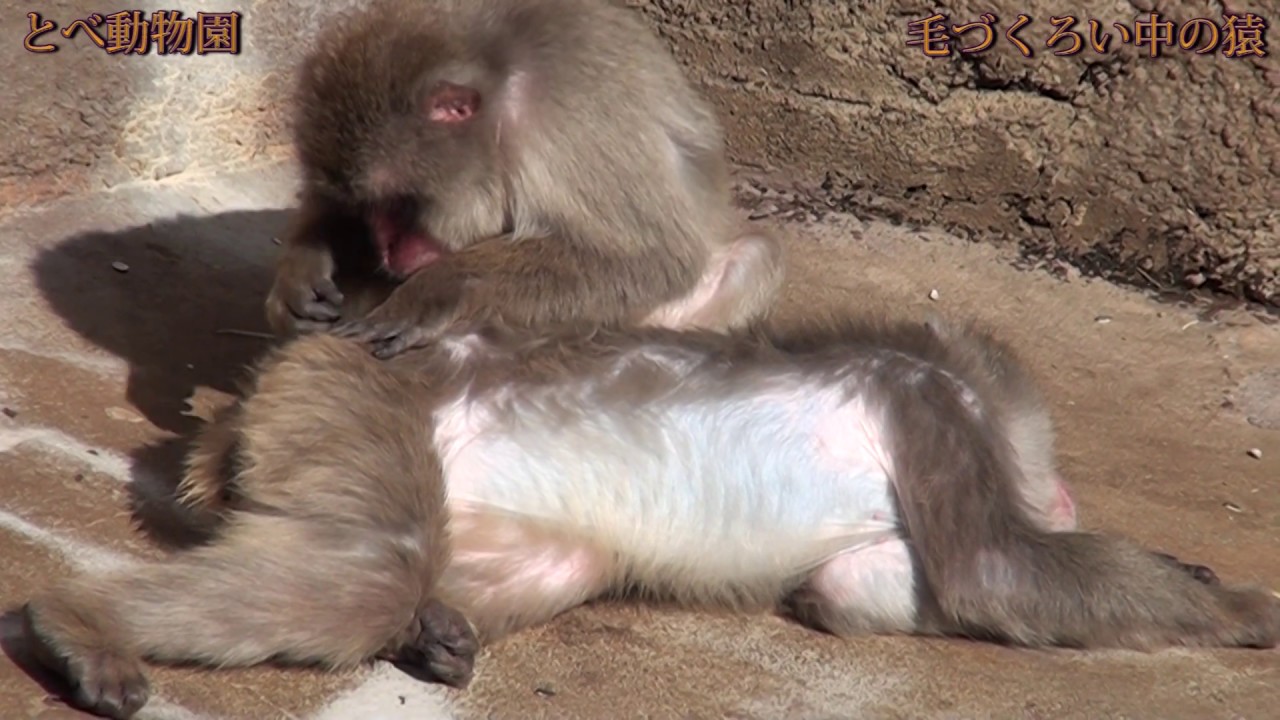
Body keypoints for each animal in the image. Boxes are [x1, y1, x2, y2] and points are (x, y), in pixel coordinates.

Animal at [21, 313, 1277, 719]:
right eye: (1042, 455)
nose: (1061, 487)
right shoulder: (929, 402)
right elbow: (996, 573)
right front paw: (1241, 605)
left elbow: (847, 593)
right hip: (345, 401)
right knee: (370, 563)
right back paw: (78, 620)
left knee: (545, 560)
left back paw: (434, 628)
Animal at [265, 0, 784, 358]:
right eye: (366, 209)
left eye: (398, 204)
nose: (387, 248)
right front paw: (301, 266)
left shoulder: (573, 121)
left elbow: (654, 260)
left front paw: (443, 287)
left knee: (755, 258)